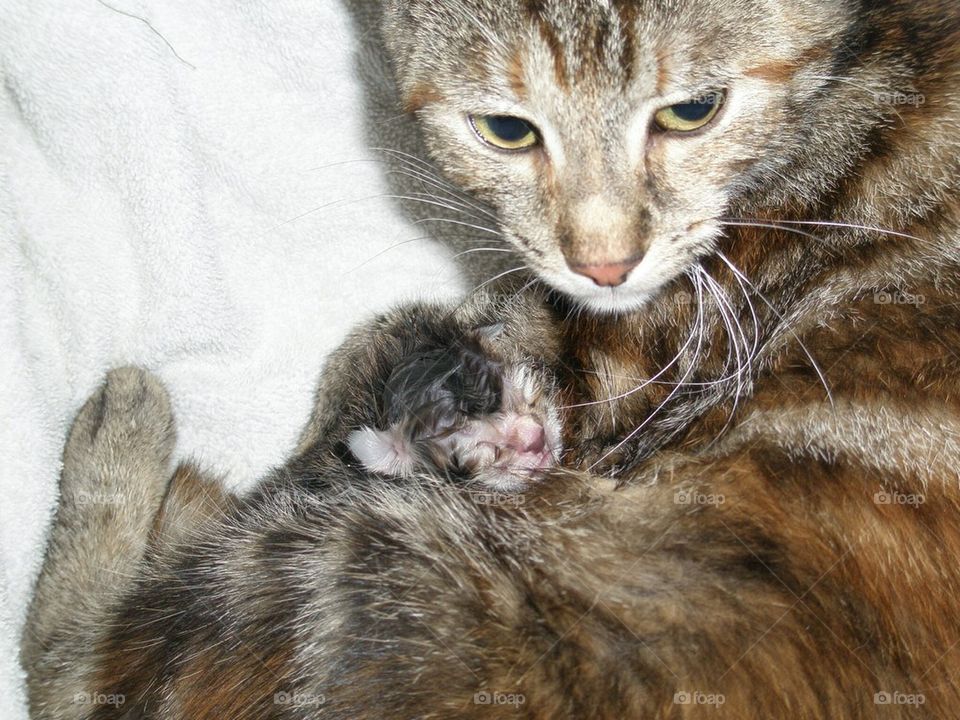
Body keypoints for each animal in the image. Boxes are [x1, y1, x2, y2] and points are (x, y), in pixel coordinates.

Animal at [18, 1, 960, 720]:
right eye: (506, 131)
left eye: (692, 111)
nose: (604, 265)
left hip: (350, 579)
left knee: (81, 670)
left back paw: (121, 426)